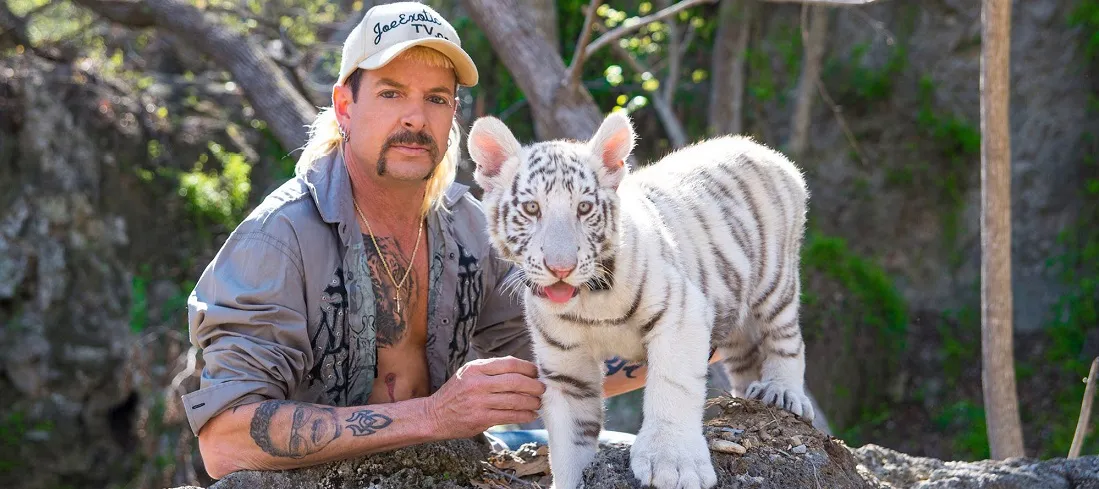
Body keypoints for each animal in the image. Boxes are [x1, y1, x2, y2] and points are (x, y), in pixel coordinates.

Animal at [467, 110, 814, 489]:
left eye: (584, 208)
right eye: (532, 208)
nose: (561, 268)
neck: (589, 300)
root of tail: (763, 149)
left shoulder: (681, 314)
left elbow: (672, 386)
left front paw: (674, 464)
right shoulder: (565, 364)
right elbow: (570, 442)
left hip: (775, 279)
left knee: (787, 337)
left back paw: (782, 391)